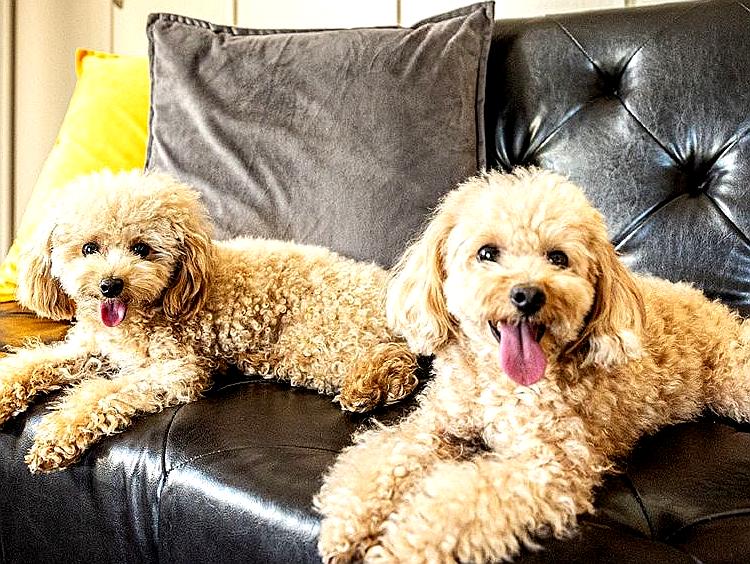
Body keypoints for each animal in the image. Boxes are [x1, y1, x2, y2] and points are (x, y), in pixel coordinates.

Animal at [0, 170, 418, 473]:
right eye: (89, 248)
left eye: (141, 249)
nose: (110, 285)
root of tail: (392, 290)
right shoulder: (91, 349)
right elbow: (33, 363)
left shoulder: (179, 369)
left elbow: (103, 393)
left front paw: (58, 434)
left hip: (314, 343)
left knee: (400, 362)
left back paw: (368, 387)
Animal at [315, 167, 750, 563]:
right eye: (486, 253)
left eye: (558, 258)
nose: (527, 295)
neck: (499, 383)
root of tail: (717, 307)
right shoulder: (437, 426)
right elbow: (387, 455)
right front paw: (347, 525)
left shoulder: (546, 465)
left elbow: (457, 501)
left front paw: (400, 550)